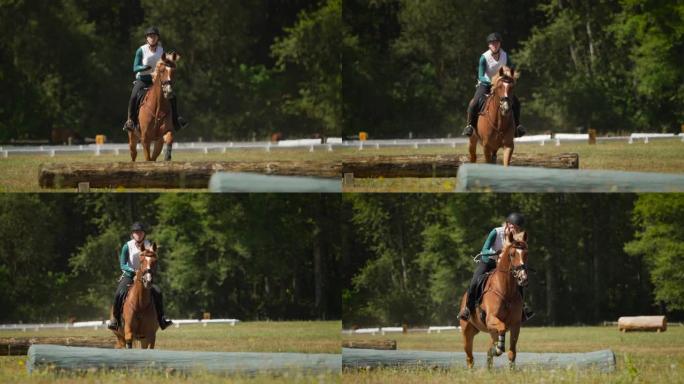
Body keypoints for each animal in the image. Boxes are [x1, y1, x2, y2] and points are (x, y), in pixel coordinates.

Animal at [460, 230, 528, 370]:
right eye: (512, 254)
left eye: (526, 254)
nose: (523, 278)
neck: (506, 291)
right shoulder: (491, 319)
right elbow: (501, 327)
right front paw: (498, 348)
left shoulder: (515, 325)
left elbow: (512, 352)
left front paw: (512, 371)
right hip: (467, 331)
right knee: (469, 357)